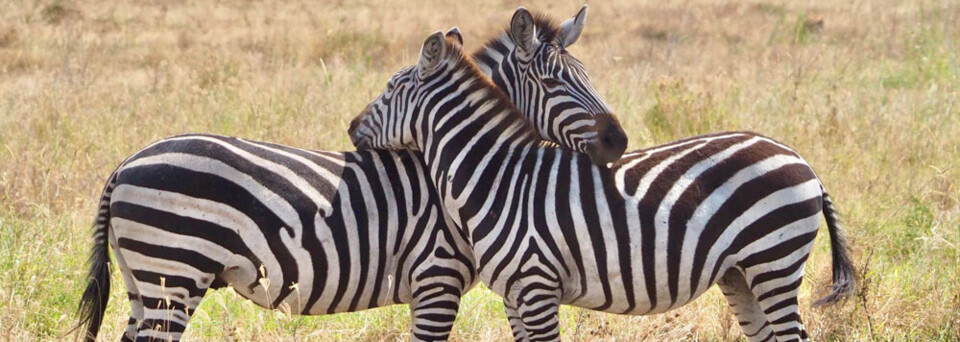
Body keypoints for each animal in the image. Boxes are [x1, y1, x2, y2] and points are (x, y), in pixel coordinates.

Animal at [79, 6, 628, 342]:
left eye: (590, 77)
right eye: (555, 84)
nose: (618, 142)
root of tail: (126, 164)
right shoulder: (437, 277)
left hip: (145, 280)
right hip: (174, 273)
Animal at [348, 31, 860, 342]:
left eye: (389, 89)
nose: (351, 127)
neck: (495, 175)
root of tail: (802, 160)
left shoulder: (537, 286)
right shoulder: (514, 294)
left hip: (773, 262)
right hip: (741, 274)